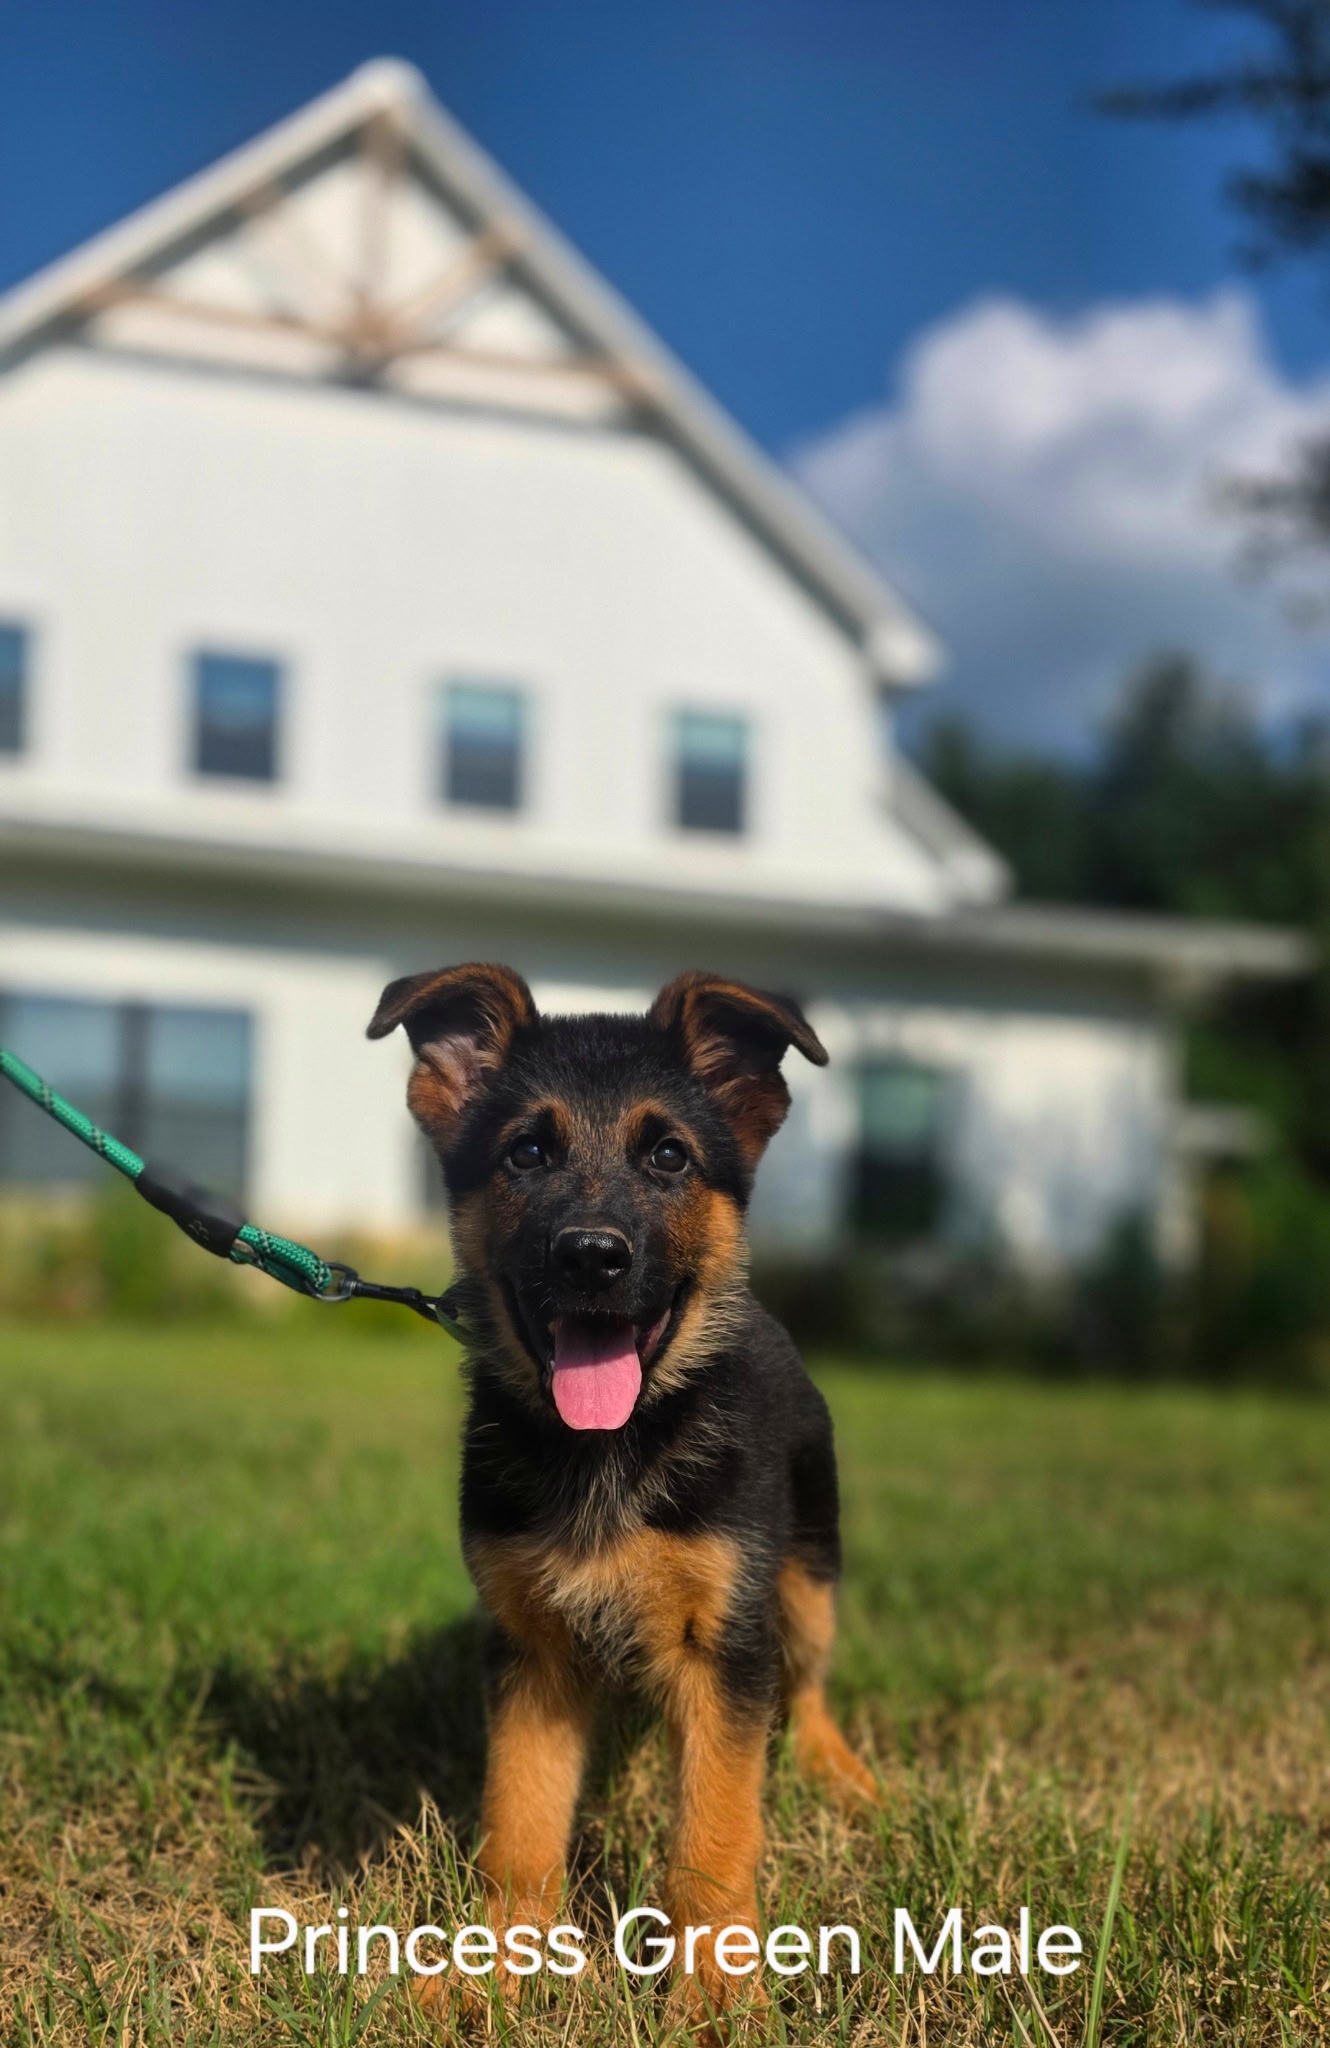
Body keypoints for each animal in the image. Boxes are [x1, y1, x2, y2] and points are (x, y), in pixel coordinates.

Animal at [368, 963, 877, 2021]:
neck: (609, 1451)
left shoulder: (725, 1647)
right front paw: (496, 1966)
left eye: (670, 1157)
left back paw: (840, 1775)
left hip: (807, 1573)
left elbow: (716, 1832)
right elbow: (520, 1826)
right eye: (525, 1152)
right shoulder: (532, 1652)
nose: (592, 1256)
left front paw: (717, 1989)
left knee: (808, 1684)